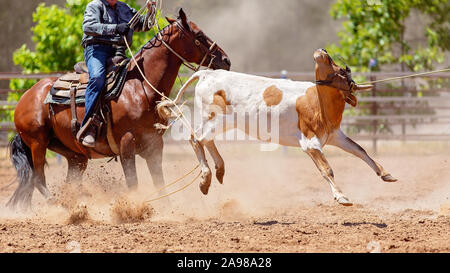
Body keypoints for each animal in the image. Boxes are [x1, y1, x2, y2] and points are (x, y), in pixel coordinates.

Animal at [7, 8, 232, 208]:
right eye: (199, 35)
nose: (226, 60)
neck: (139, 87)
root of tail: (27, 96)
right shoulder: (126, 143)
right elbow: (133, 183)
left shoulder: (154, 144)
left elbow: (159, 181)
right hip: (37, 142)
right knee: (38, 179)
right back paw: (59, 206)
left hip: (74, 155)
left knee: (69, 181)